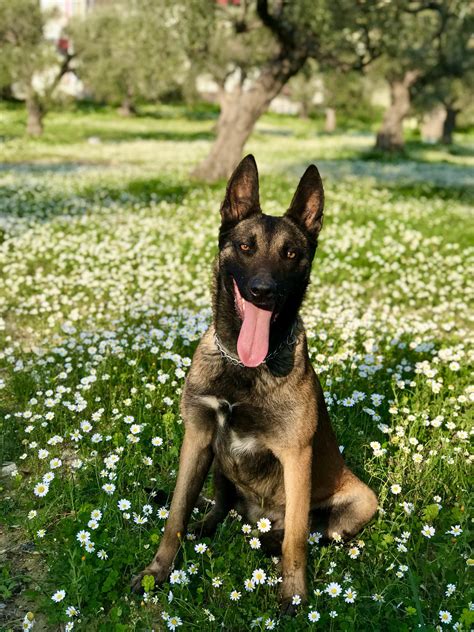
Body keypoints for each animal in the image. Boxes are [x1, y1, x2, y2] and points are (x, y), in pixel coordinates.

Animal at [132, 156, 378, 616]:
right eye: (246, 247)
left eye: (291, 253)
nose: (263, 291)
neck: (245, 367)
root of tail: (255, 517)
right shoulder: (198, 436)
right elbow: (175, 514)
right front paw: (158, 572)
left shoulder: (296, 457)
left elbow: (298, 539)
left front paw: (294, 597)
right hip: (217, 463)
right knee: (218, 508)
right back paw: (209, 528)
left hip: (361, 500)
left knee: (311, 532)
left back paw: (268, 542)